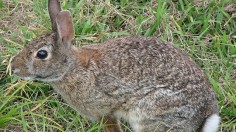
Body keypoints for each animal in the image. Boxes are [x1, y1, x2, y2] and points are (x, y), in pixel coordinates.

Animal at [11, 0, 220, 131]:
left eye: (42, 54)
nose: (13, 67)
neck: (72, 69)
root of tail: (205, 114)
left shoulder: (105, 111)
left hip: (150, 112)